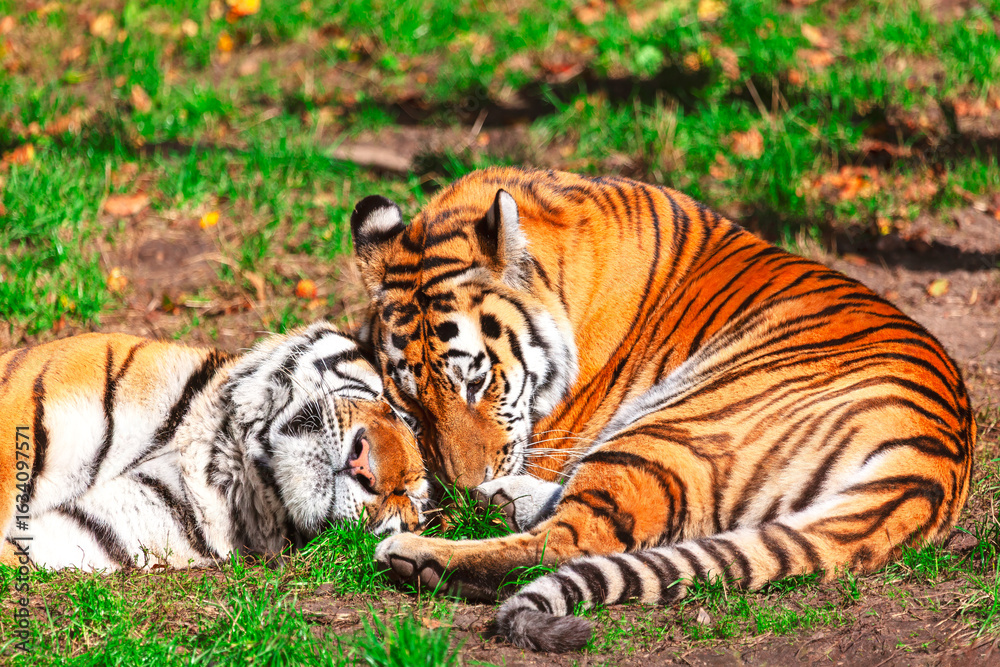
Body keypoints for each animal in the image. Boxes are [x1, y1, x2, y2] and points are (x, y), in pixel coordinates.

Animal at [348, 167, 975, 652]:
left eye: (476, 383)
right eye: (413, 402)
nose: (461, 488)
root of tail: (930, 465)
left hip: (670, 427)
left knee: (573, 540)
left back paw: (420, 553)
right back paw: (501, 500)